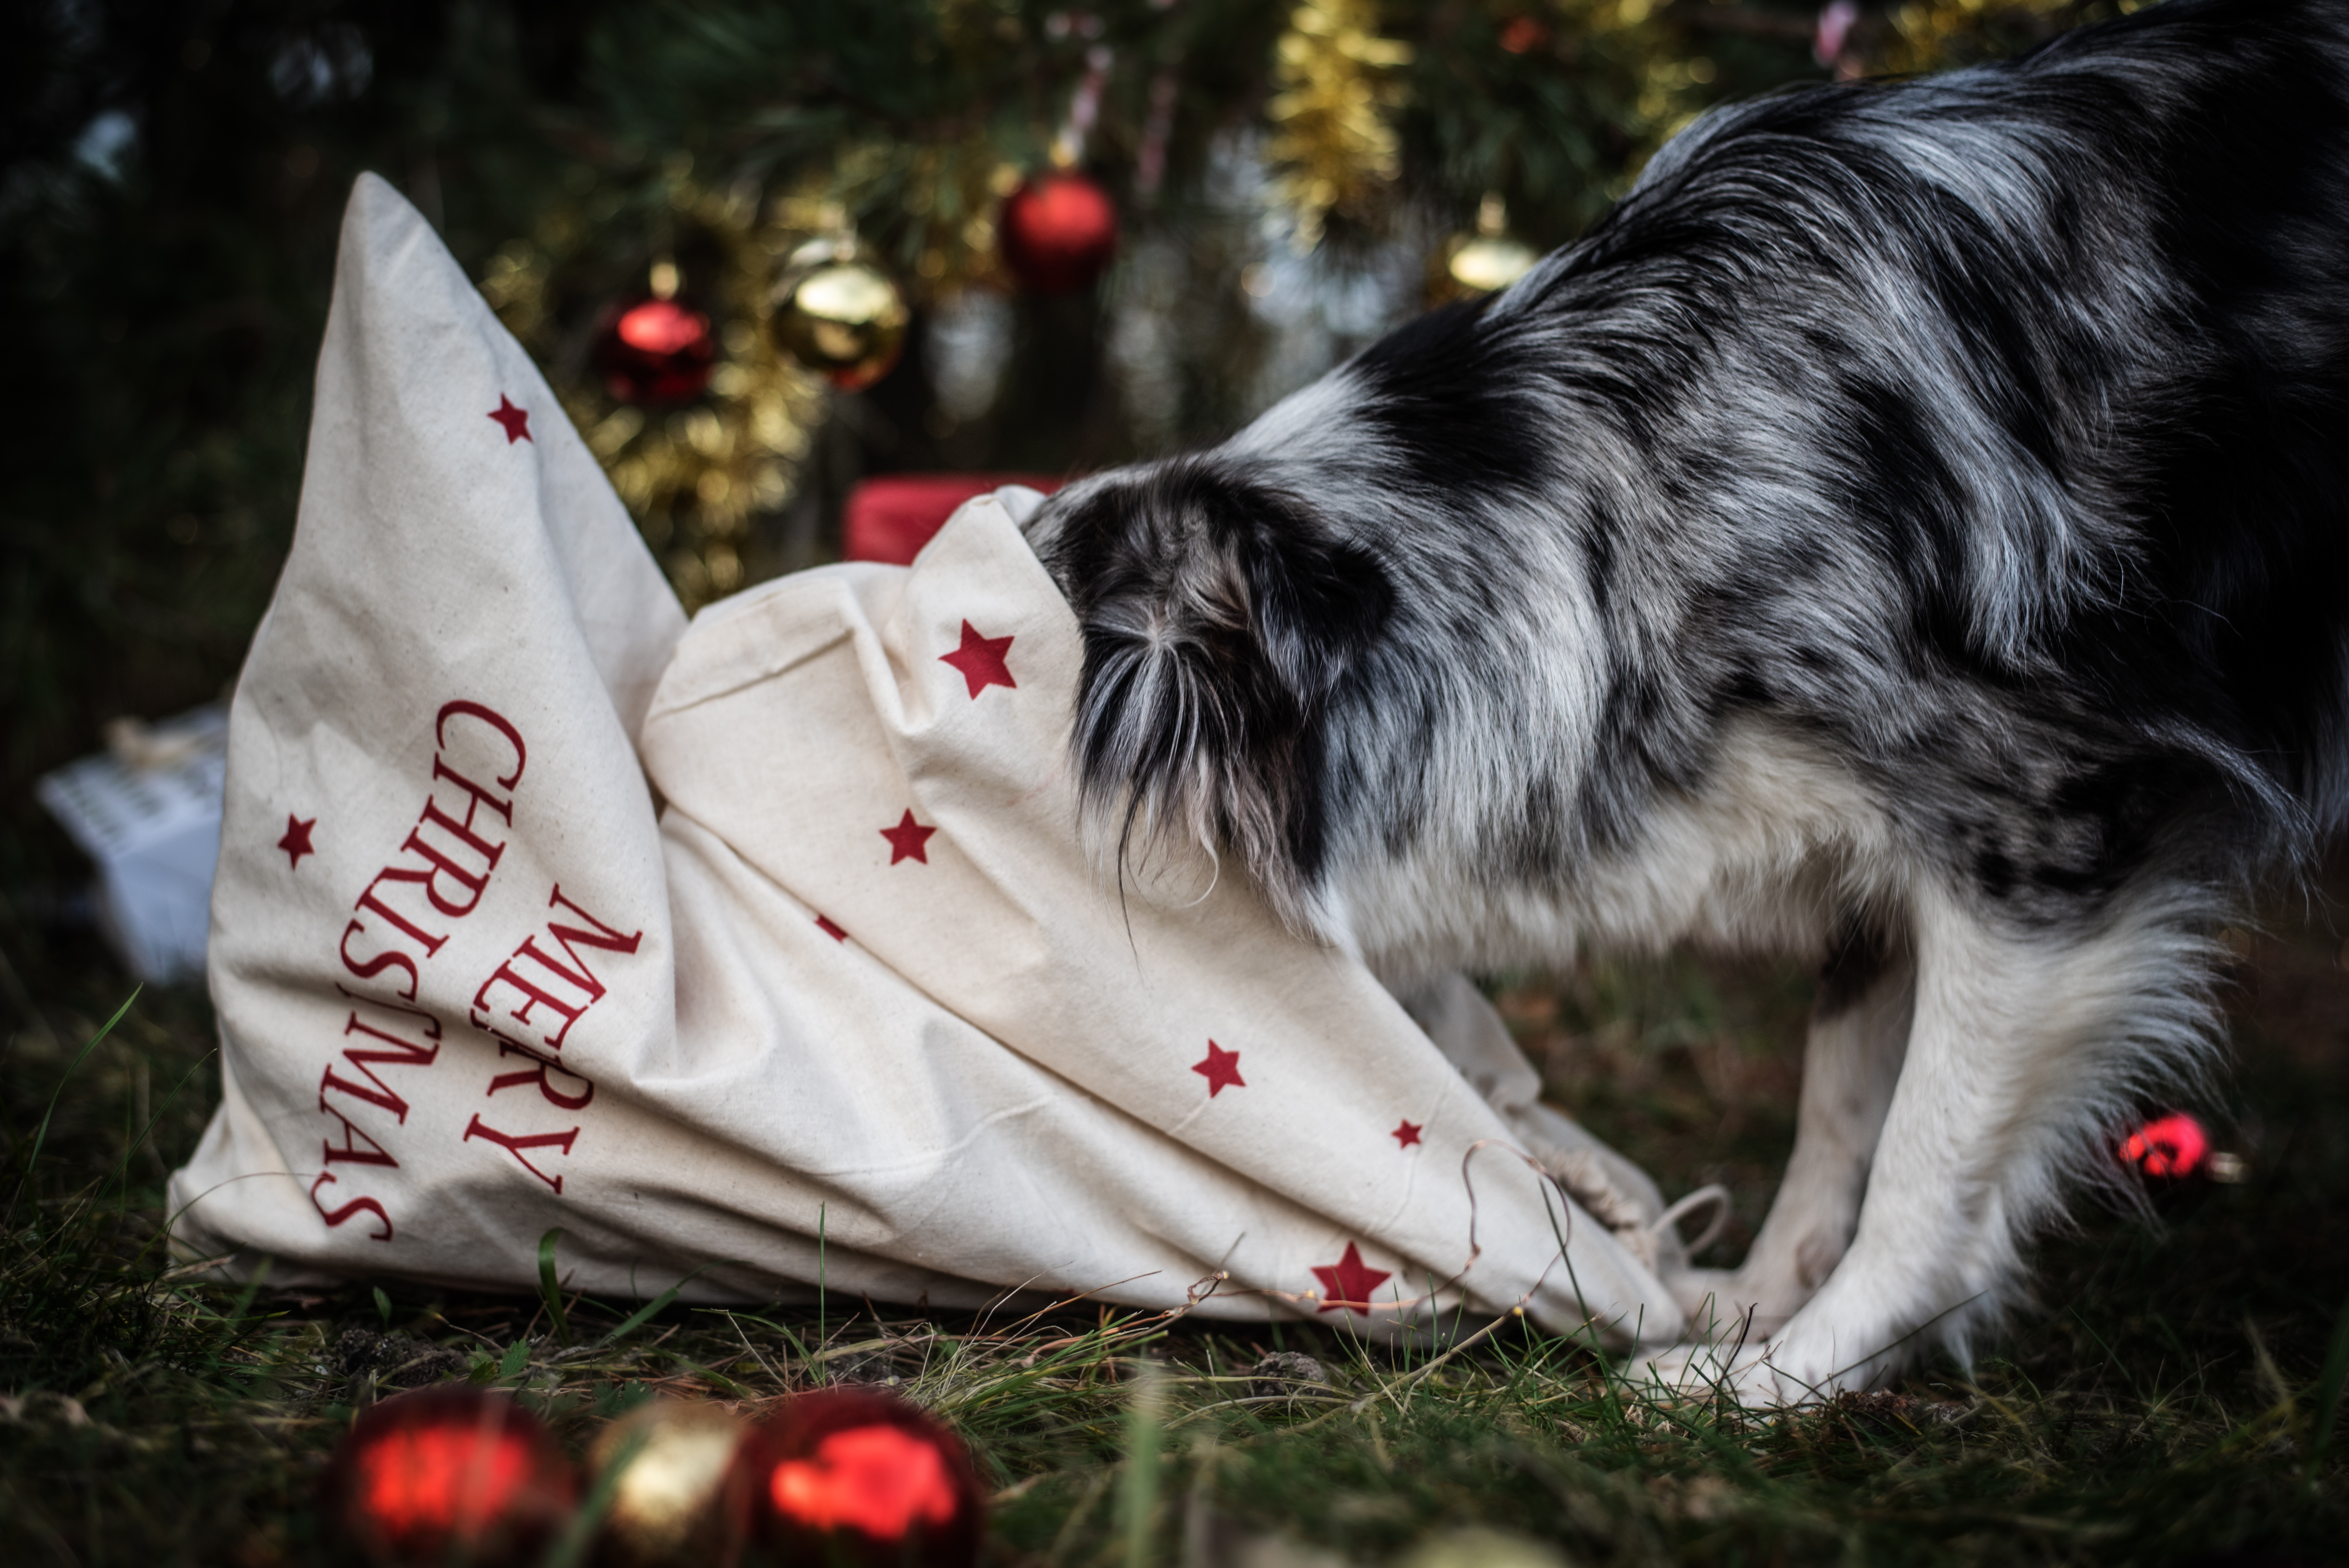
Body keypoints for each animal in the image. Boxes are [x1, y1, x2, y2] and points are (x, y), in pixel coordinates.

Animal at [1024, 0, 2349, 1399]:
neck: (1619, 519)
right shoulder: (1886, 853)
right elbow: (1840, 1103)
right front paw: (1754, 1307)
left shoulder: (2038, 827)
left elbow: (1926, 1160)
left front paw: (1788, 1379)